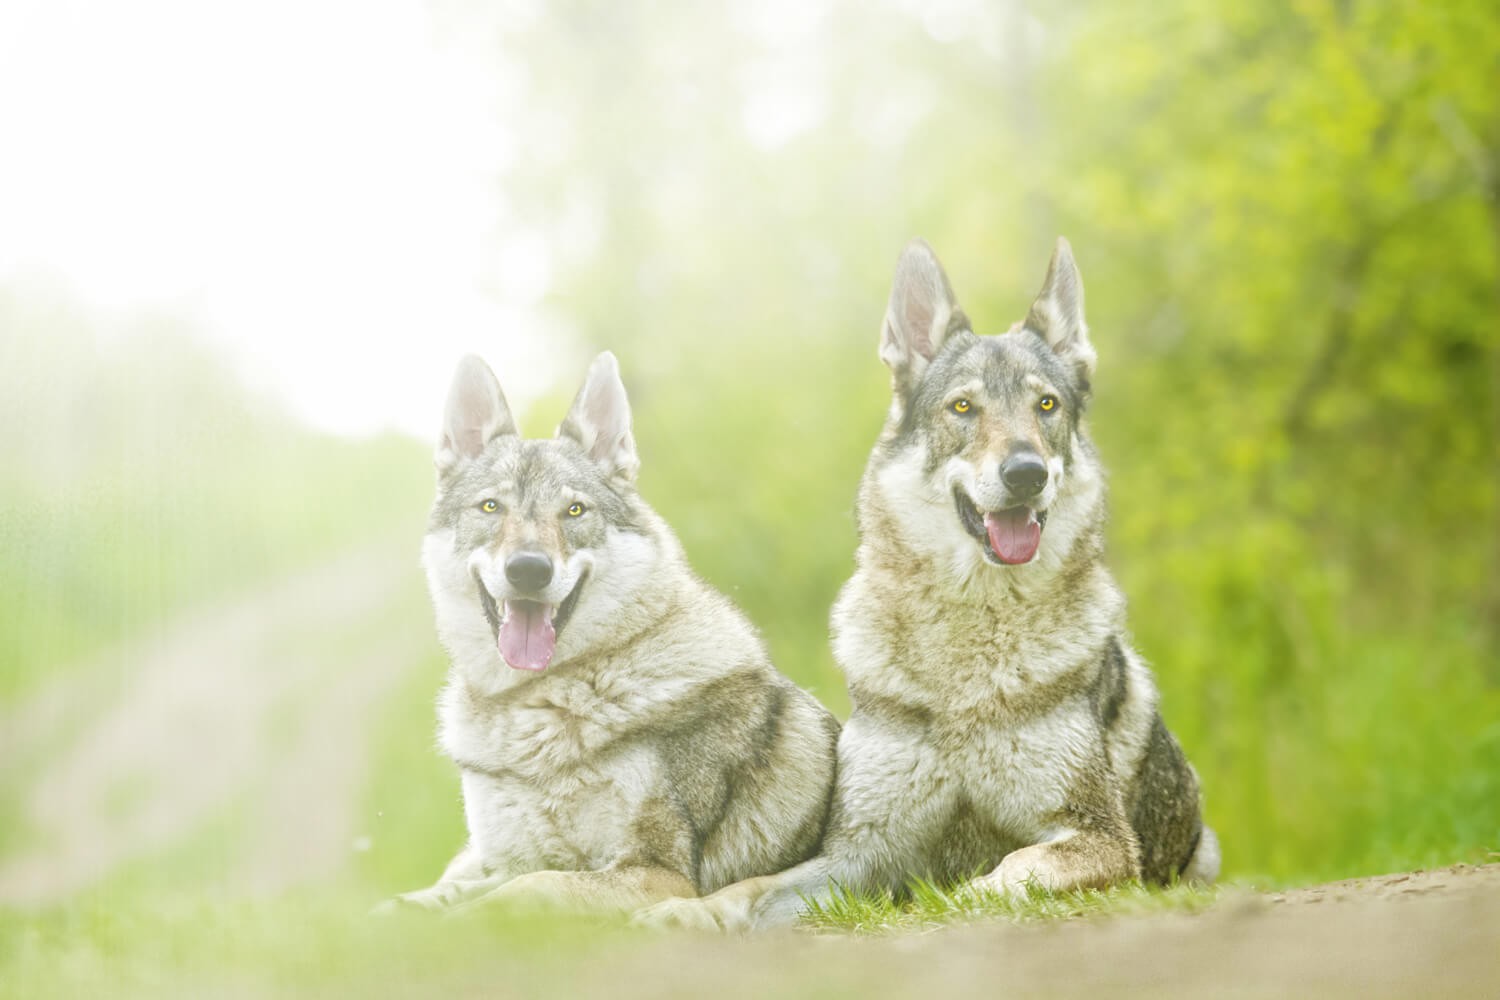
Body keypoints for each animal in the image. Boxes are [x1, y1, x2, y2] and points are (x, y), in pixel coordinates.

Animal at [383, 351, 840, 914]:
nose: (528, 570)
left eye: (574, 511)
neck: (534, 708)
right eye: (491, 508)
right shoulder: (508, 861)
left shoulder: (659, 874)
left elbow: (521, 892)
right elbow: (432, 900)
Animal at [638, 238, 1219, 931]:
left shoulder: (1099, 838)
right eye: (963, 407)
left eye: (1046, 406)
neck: (967, 644)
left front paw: (956, 899)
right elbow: (746, 890)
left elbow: (1003, 875)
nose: (1025, 473)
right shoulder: (860, 852)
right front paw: (680, 913)